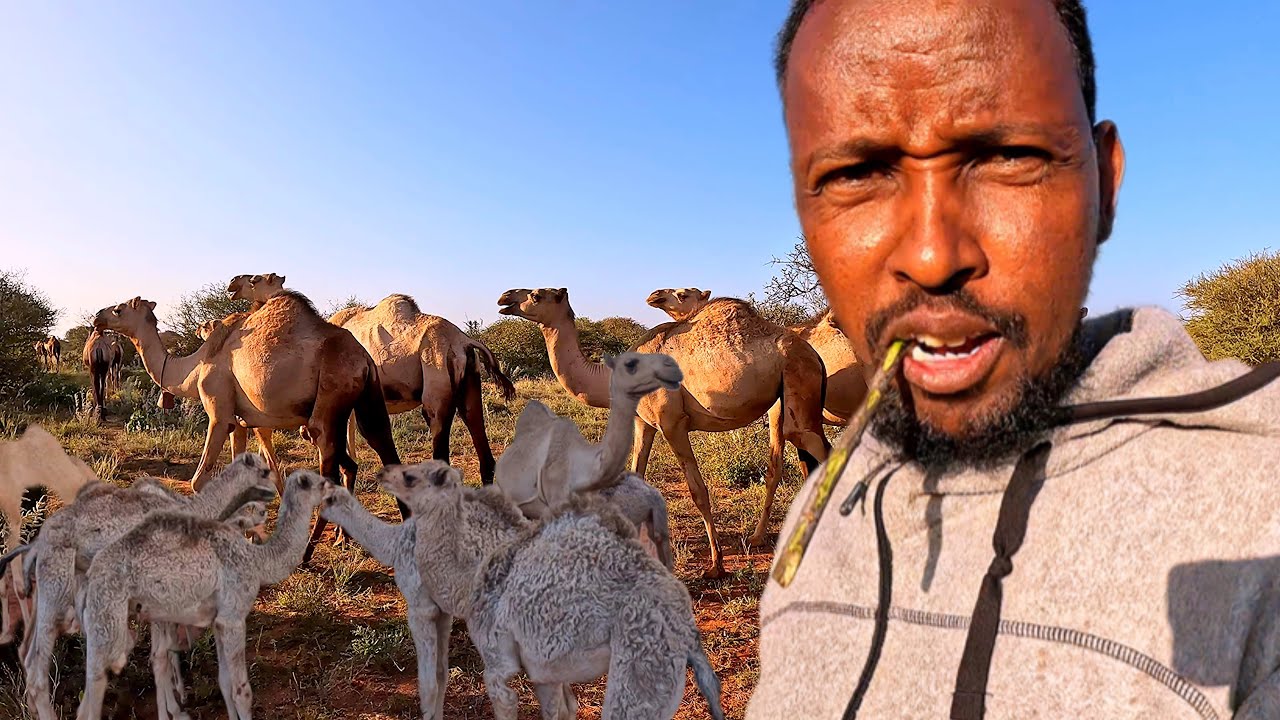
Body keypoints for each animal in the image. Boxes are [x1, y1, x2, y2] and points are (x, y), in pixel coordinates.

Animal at [9, 453, 278, 720]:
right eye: (264, 471)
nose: (269, 502)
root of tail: (38, 543)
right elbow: (160, 654)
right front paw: (173, 710)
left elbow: (163, 650)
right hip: (57, 587)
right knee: (38, 670)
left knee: (27, 652)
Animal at [92, 293, 407, 561]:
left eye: (119, 309)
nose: (97, 317)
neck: (195, 366)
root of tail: (363, 359)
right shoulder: (239, 422)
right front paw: (249, 536)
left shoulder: (218, 413)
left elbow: (198, 480)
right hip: (367, 398)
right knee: (379, 451)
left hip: (330, 401)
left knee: (331, 465)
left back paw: (307, 552)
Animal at [497, 287, 830, 578]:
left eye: (536, 295)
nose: (504, 297)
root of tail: (815, 356)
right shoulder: (643, 423)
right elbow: (636, 476)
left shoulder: (671, 422)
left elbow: (698, 491)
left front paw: (716, 565)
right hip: (784, 400)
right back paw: (766, 536)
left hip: (798, 380)